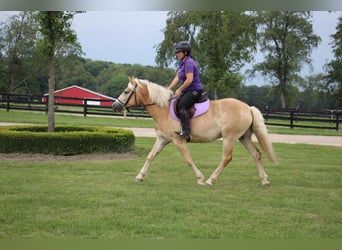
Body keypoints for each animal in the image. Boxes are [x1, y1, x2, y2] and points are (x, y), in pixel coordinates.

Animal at [113, 76, 276, 186]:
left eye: (126, 91)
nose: (115, 106)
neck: (163, 109)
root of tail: (247, 107)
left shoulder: (178, 141)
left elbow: (188, 159)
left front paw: (200, 178)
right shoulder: (162, 139)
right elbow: (150, 156)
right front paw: (140, 176)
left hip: (229, 138)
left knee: (226, 158)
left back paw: (210, 180)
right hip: (244, 137)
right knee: (256, 154)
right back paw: (264, 180)